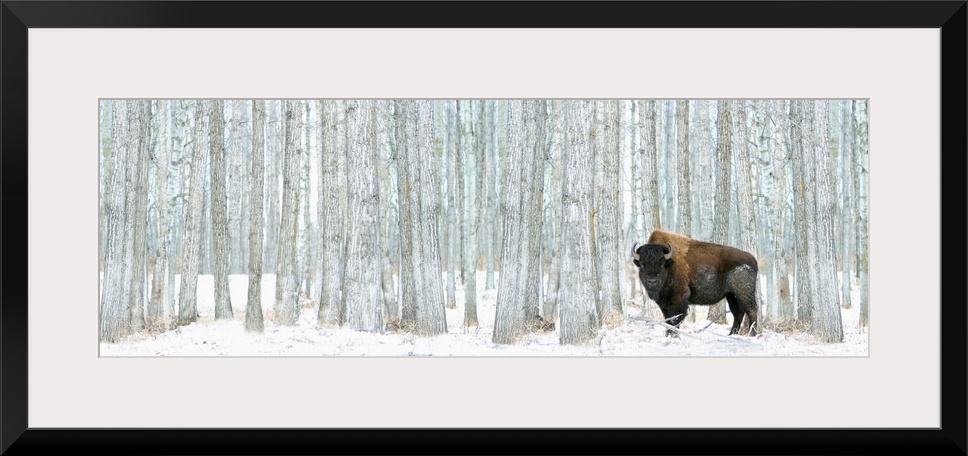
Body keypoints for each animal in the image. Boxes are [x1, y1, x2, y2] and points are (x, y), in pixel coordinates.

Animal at [632, 230, 760, 336]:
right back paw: (732, 334)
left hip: (743, 293)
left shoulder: (679, 298)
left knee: (751, 310)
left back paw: (752, 334)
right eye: (642, 264)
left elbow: (675, 318)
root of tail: (753, 259)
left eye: (662, 264)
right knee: (737, 313)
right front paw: (668, 333)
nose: (652, 281)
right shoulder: (664, 302)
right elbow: (668, 318)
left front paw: (673, 334)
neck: (670, 265)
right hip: (731, 295)